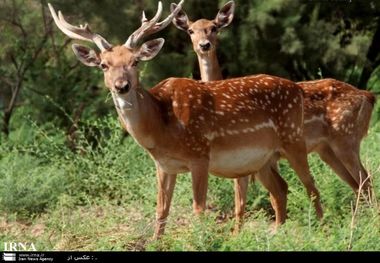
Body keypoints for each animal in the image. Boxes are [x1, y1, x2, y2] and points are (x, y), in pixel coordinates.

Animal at [48, 0, 324, 239]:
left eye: (135, 61)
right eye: (104, 65)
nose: (122, 86)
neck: (160, 128)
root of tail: (297, 88)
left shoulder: (199, 154)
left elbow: (199, 209)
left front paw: (202, 240)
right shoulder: (163, 165)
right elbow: (161, 210)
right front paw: (156, 242)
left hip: (293, 138)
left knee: (312, 188)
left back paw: (319, 232)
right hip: (262, 159)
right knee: (281, 190)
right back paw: (276, 234)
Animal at [174, 0, 376, 228]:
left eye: (214, 27)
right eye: (190, 30)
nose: (204, 45)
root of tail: (368, 96)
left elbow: (246, 199)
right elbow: (261, 197)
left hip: (346, 138)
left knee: (365, 180)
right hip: (327, 149)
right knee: (356, 184)